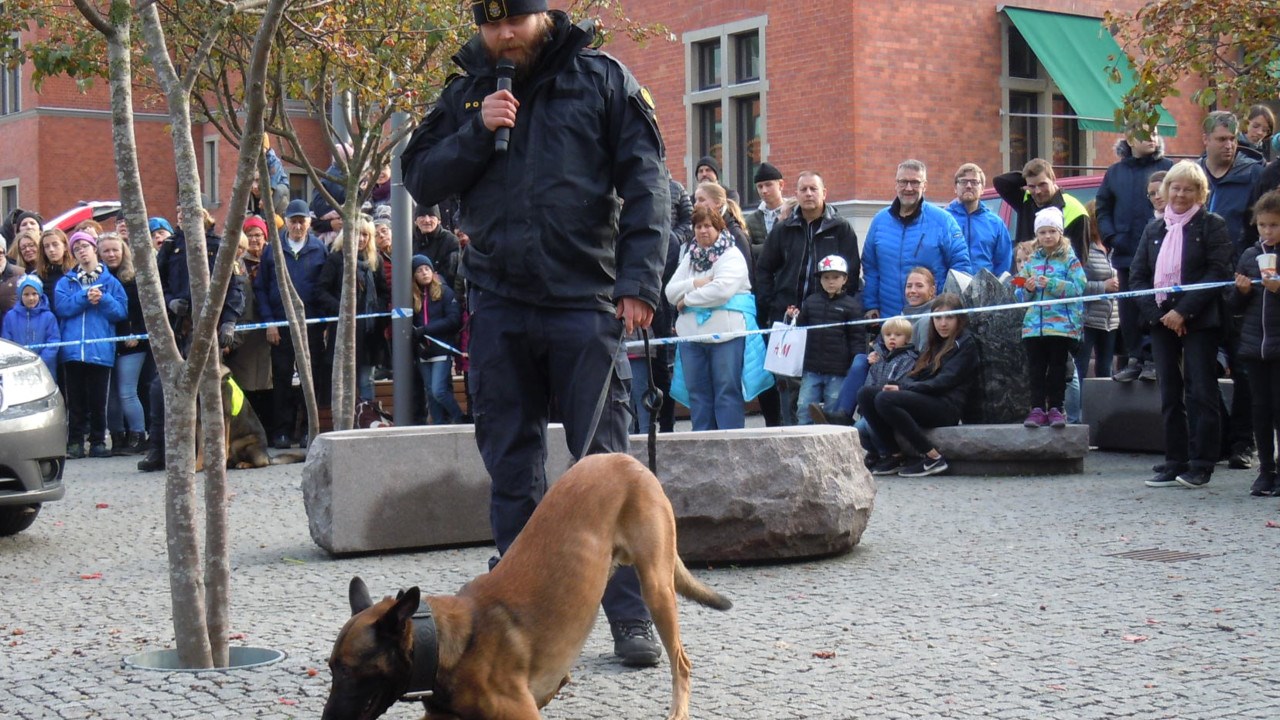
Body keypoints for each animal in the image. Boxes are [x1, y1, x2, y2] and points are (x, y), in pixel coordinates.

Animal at [325, 453, 737, 717]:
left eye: (345, 671)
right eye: (330, 668)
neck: (446, 645)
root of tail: (625, 459)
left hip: (655, 586)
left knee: (682, 663)